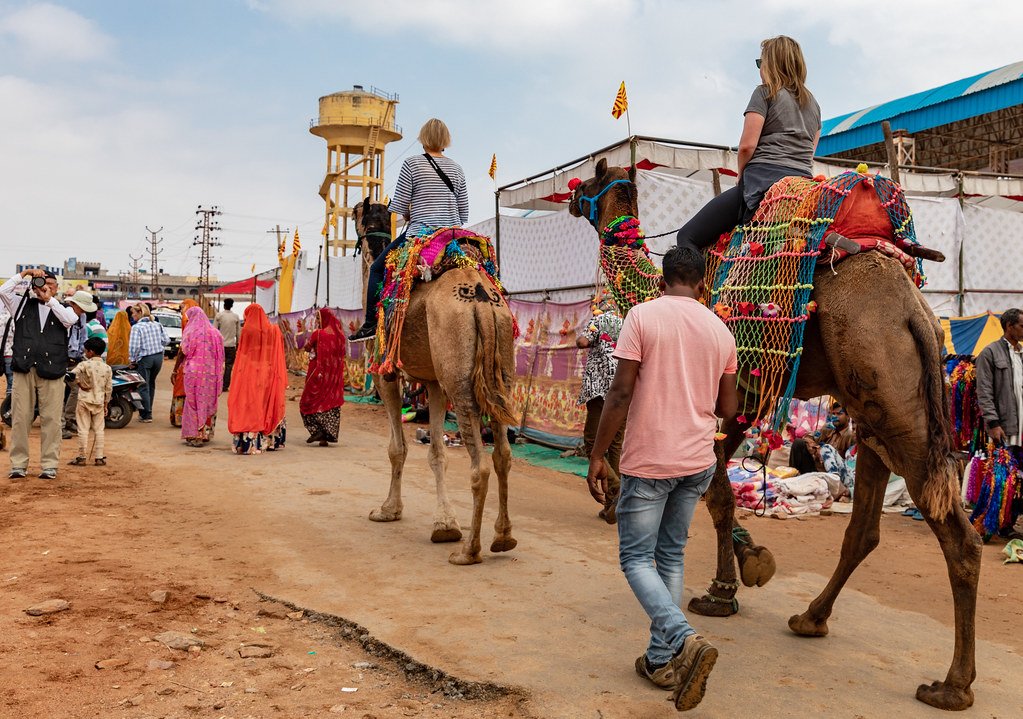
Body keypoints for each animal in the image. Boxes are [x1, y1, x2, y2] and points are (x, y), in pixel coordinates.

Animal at [353, 199, 519, 564]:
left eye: (357, 215)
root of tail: (479, 296)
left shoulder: (385, 372)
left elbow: (397, 449)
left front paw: (388, 510)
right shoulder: (433, 382)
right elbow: (437, 452)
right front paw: (445, 524)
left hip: (459, 378)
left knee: (480, 465)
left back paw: (469, 551)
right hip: (499, 369)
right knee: (502, 454)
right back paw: (503, 537)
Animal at [568, 160, 982, 711]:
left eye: (589, 183)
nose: (570, 195)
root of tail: (916, 311)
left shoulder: (727, 388)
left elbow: (717, 491)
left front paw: (722, 590)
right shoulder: (744, 394)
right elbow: (718, 487)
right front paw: (751, 562)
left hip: (890, 398)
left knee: (959, 537)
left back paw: (951, 686)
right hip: (877, 407)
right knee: (864, 529)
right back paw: (811, 618)